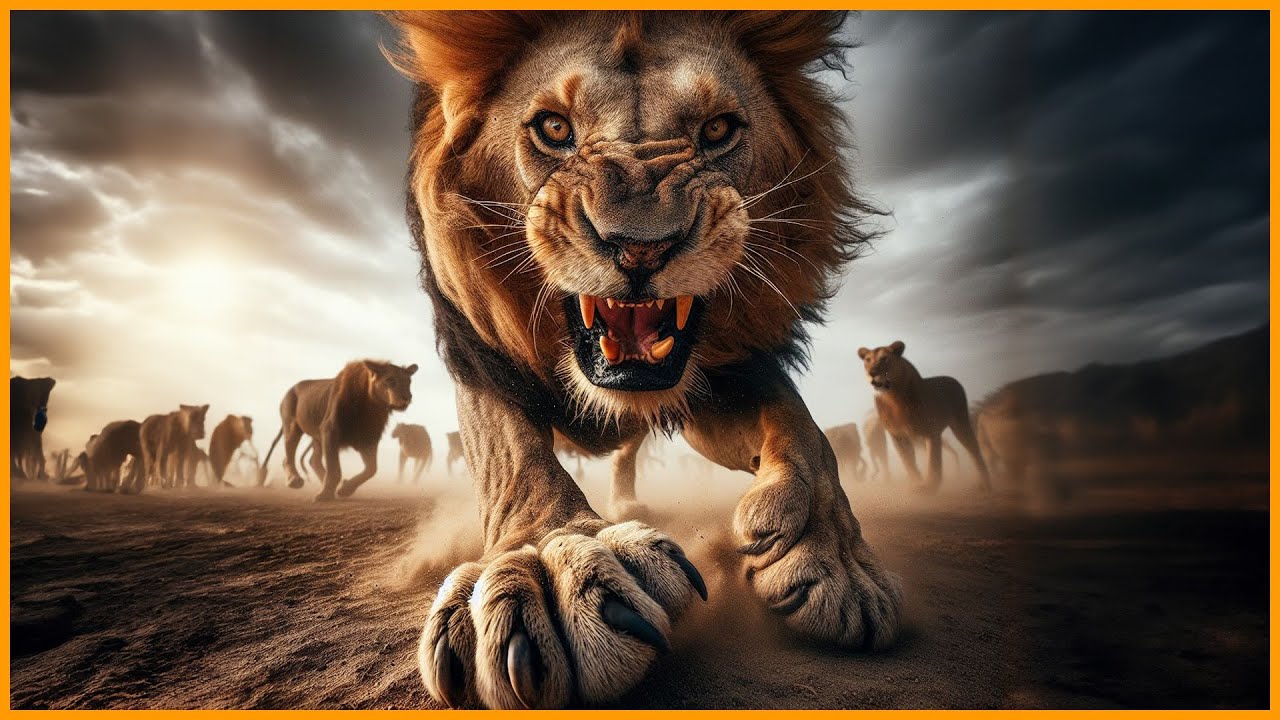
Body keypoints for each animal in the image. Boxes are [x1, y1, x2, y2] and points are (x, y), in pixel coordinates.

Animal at [260, 360, 417, 501]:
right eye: (390, 380)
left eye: (408, 382)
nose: (407, 397)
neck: (371, 408)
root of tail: (290, 389)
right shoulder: (330, 431)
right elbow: (334, 469)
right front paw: (325, 494)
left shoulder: (369, 438)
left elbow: (371, 470)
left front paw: (344, 489)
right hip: (292, 426)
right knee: (289, 455)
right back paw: (294, 480)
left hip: (317, 437)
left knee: (313, 460)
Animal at [385, 11, 902, 708]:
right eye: (554, 129)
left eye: (717, 130)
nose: (639, 247)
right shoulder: (481, 354)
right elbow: (511, 454)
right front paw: (552, 562)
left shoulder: (727, 379)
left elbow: (803, 429)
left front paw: (839, 563)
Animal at [858, 341, 990, 493]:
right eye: (868, 360)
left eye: (884, 358)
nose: (872, 373)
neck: (894, 399)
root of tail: (952, 379)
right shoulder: (898, 436)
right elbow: (909, 463)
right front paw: (917, 483)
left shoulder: (931, 432)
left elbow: (933, 461)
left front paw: (929, 487)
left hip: (960, 424)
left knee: (974, 450)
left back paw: (985, 484)